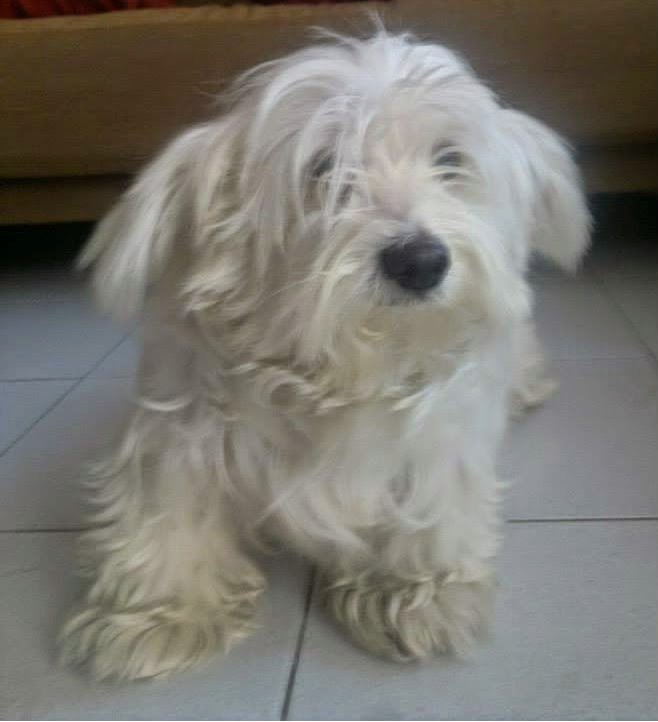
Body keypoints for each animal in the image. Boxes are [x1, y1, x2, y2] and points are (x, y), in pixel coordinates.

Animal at [59, 29, 590, 681]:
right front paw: (160, 614)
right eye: (323, 168)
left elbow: (428, 509)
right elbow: (168, 510)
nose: (420, 261)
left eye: (449, 160)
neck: (337, 366)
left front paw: (415, 592)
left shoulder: (433, 437)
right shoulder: (181, 431)